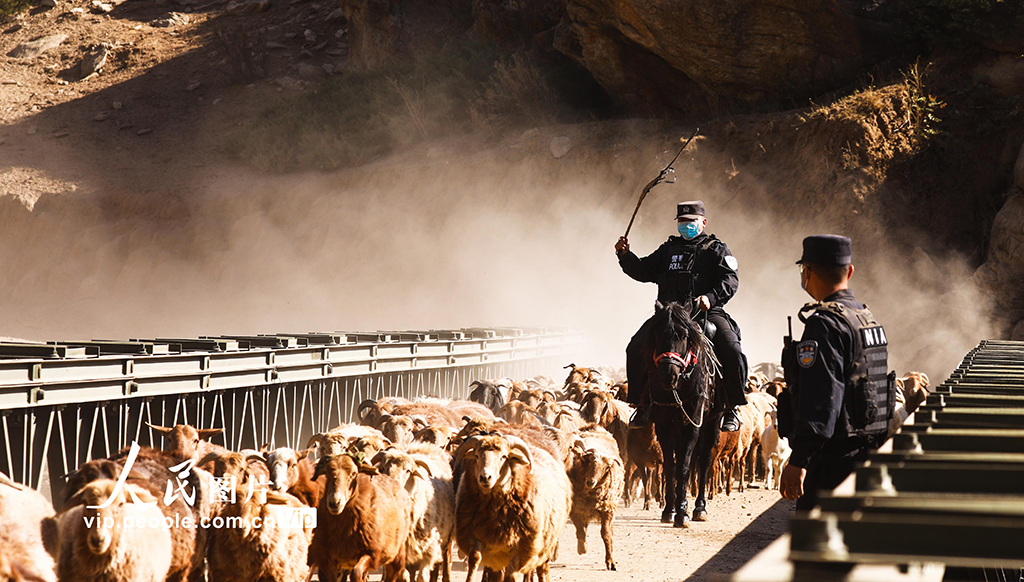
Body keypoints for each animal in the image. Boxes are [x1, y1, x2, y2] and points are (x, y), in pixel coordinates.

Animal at [454, 434, 573, 577]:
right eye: (476, 456)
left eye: (504, 457)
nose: (485, 477)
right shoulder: (476, 536)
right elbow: (475, 559)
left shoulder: (522, 545)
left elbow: (511, 573)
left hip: (545, 544)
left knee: (542, 569)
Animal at [569, 424, 622, 569]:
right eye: (589, 461)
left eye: (607, 467)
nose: (590, 482)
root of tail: (593, 426)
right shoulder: (576, 509)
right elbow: (580, 530)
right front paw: (583, 548)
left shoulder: (607, 509)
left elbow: (606, 534)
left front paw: (610, 561)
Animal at [643, 299, 724, 528]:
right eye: (656, 334)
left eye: (684, 335)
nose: (668, 374)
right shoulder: (663, 426)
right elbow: (671, 467)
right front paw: (670, 510)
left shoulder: (692, 425)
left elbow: (685, 467)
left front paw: (681, 513)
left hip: (711, 422)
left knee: (704, 461)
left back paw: (699, 507)